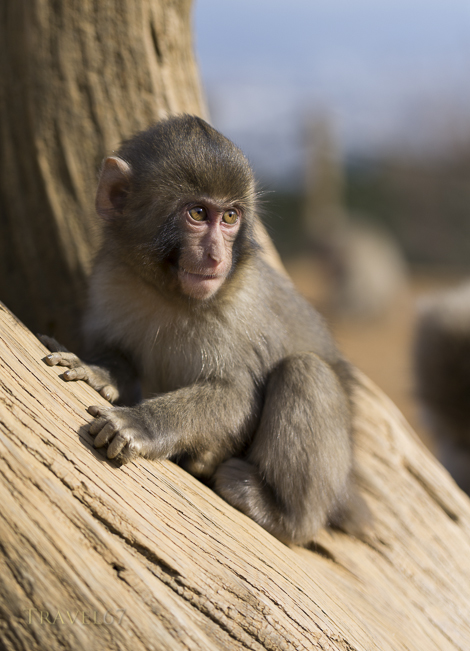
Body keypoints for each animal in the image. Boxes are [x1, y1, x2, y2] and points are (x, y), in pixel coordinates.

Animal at [42, 115, 354, 545]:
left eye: (230, 217)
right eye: (198, 213)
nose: (217, 255)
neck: (170, 296)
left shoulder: (238, 311)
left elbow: (238, 397)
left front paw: (141, 423)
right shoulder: (111, 280)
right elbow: (119, 355)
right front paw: (97, 371)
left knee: (306, 372)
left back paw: (280, 514)